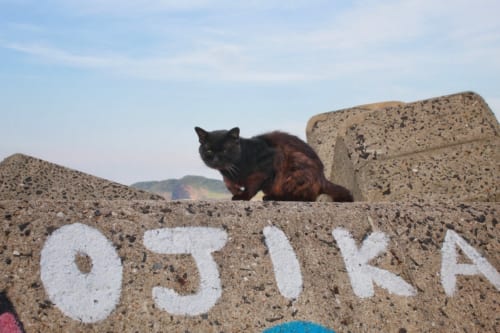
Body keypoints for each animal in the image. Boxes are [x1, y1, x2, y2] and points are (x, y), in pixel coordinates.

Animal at [193, 126, 354, 201]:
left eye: (225, 149)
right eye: (208, 150)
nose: (215, 159)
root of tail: (323, 178)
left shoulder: (265, 168)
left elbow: (251, 187)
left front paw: (242, 196)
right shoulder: (228, 177)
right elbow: (228, 184)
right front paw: (236, 191)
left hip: (296, 166)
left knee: (306, 197)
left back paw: (273, 197)